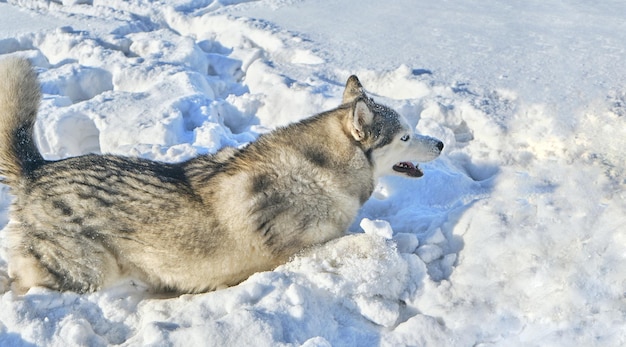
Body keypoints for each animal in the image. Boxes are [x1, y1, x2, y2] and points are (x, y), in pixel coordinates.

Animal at [0, 57, 438, 294]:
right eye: (406, 136)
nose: (441, 144)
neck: (320, 172)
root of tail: (38, 168)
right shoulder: (295, 253)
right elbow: (360, 242)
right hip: (89, 273)